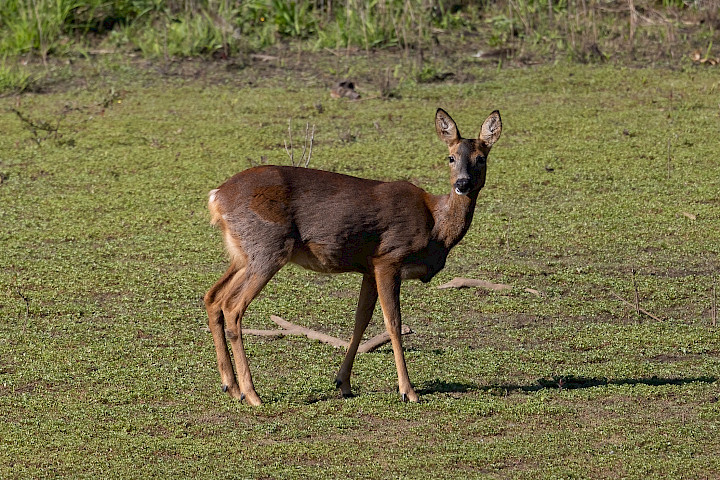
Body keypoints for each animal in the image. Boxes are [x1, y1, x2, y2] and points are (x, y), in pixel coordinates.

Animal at [204, 108, 502, 405]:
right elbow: (393, 323)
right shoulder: (389, 258)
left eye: (481, 158)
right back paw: (252, 394)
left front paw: (343, 382)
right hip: (268, 247)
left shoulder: (369, 268)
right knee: (232, 306)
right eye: (450, 157)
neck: (435, 227)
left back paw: (231, 386)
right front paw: (408, 391)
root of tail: (216, 197)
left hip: (243, 254)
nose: (462, 183)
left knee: (213, 296)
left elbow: (361, 320)